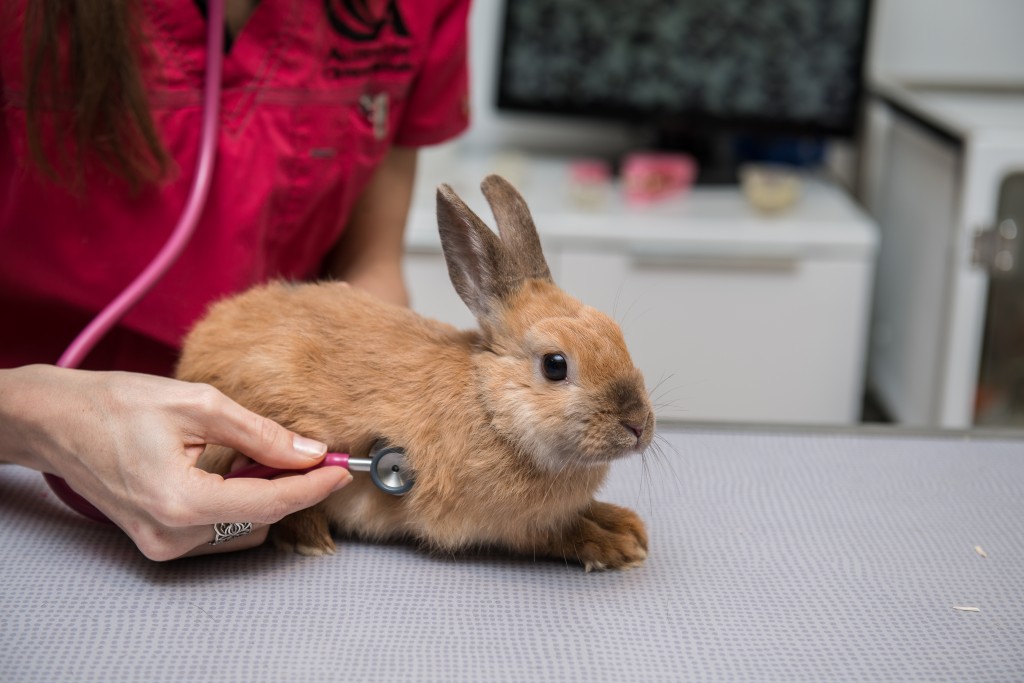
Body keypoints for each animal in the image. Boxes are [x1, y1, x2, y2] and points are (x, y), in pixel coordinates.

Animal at [176, 176, 651, 573]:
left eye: (616, 333)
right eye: (555, 365)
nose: (638, 426)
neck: (491, 408)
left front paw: (626, 527)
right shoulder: (513, 523)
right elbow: (558, 534)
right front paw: (616, 546)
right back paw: (311, 539)